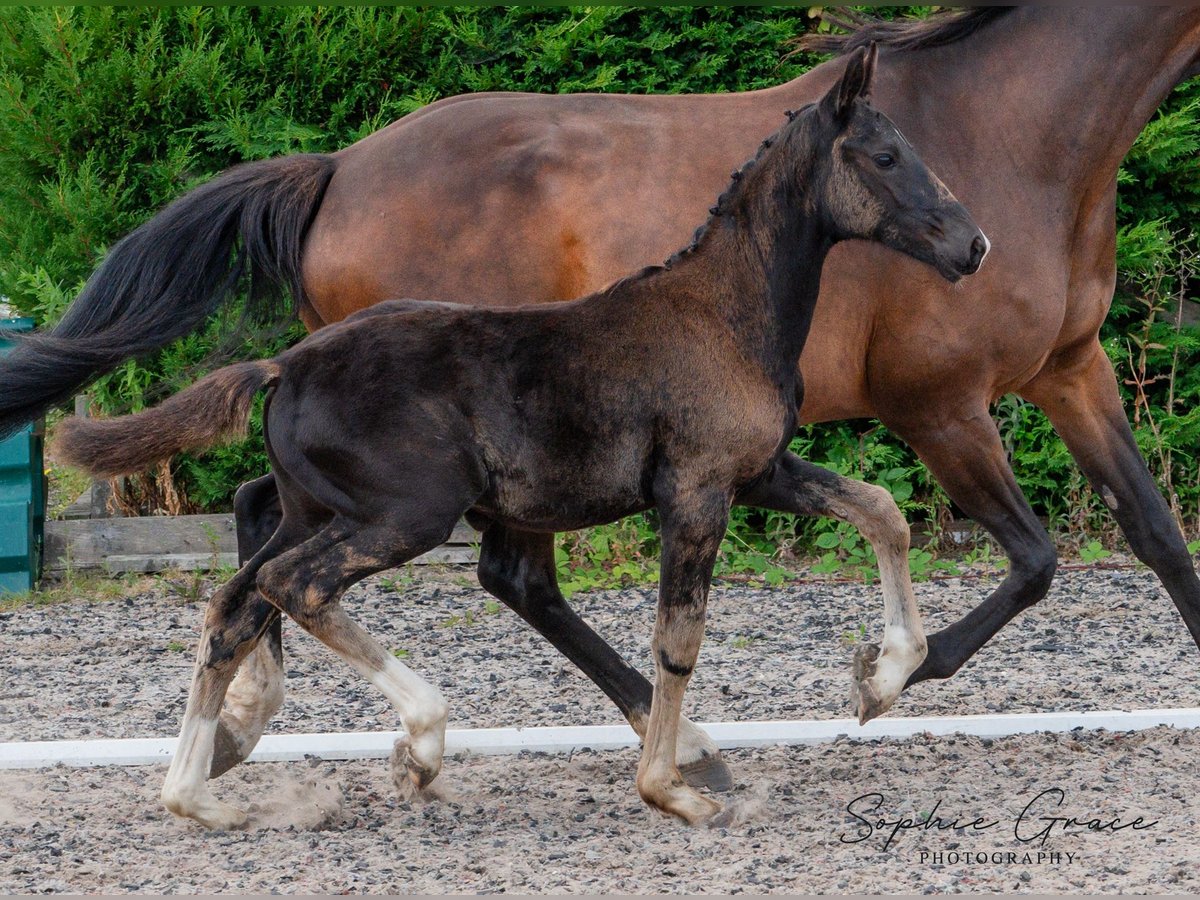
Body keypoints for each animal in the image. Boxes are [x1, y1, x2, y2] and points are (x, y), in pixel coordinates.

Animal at [58, 45, 984, 830]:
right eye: (886, 156)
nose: (972, 244)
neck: (725, 312)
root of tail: (284, 365)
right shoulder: (695, 494)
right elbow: (677, 640)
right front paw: (671, 791)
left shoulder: (757, 472)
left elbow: (880, 508)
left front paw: (881, 678)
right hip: (406, 515)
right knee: (297, 586)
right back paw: (419, 742)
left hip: (314, 509)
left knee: (236, 604)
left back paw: (201, 794)